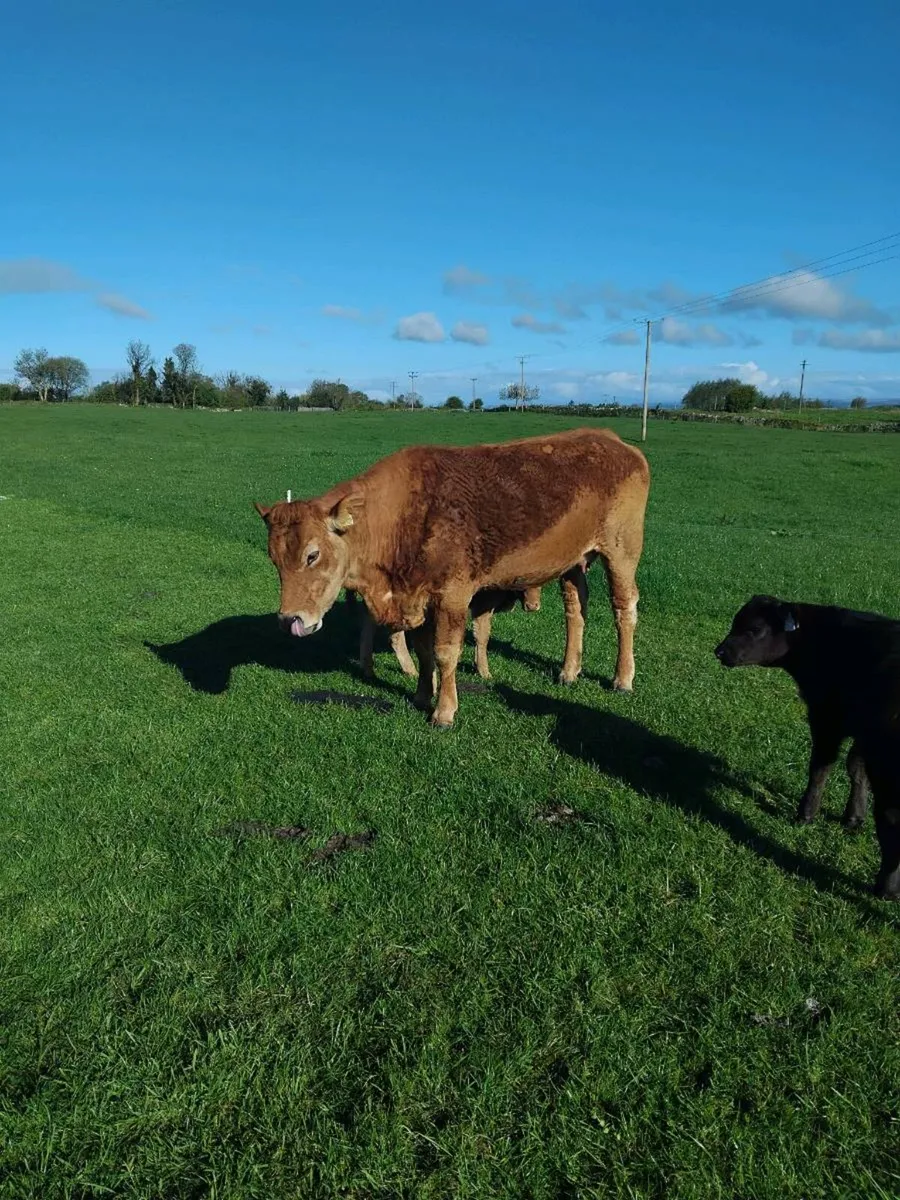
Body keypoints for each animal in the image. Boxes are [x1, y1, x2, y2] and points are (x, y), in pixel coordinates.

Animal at [255, 427, 650, 729]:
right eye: (275, 559)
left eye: (312, 554)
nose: (289, 619)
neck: (401, 517)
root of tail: (613, 440)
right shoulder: (416, 596)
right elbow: (423, 650)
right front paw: (420, 695)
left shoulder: (453, 595)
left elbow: (446, 653)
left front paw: (443, 711)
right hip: (572, 562)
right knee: (575, 610)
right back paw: (569, 670)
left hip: (621, 550)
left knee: (623, 608)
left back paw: (623, 678)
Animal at [715, 595, 900, 900]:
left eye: (754, 628)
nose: (719, 651)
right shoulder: (861, 733)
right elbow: (855, 769)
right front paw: (853, 817)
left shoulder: (826, 719)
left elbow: (821, 767)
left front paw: (806, 814)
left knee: (891, 819)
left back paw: (886, 888)